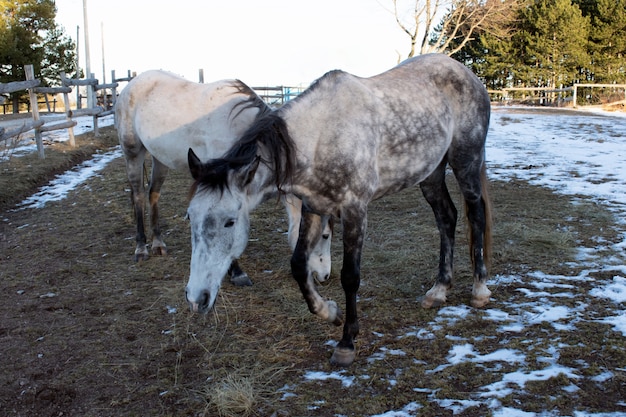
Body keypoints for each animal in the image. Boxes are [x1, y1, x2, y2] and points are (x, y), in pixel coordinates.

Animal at [116, 70, 332, 286]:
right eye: (325, 235)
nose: (325, 276)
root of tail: (130, 85)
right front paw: (237, 272)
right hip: (132, 153)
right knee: (138, 196)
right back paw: (141, 249)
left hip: (160, 159)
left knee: (153, 194)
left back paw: (158, 244)